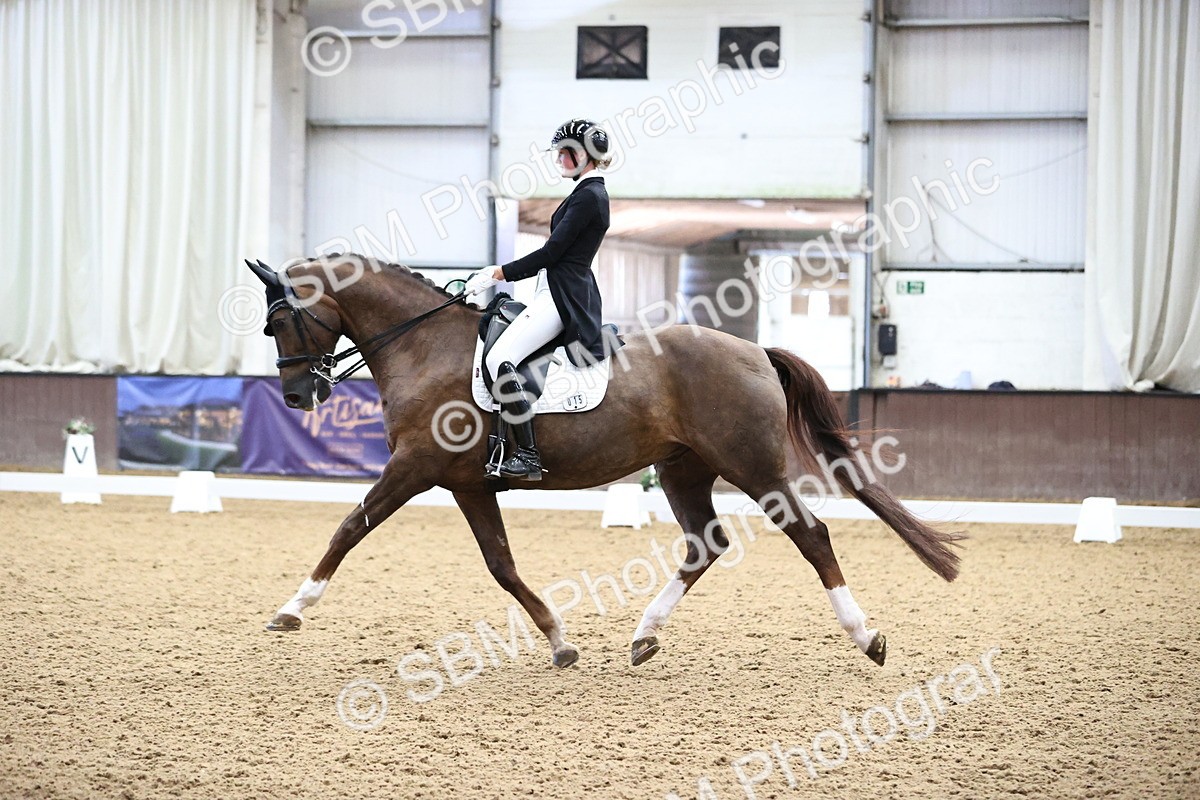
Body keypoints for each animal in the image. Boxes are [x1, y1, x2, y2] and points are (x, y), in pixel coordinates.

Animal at [247, 254, 962, 669]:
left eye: (279, 320)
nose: (297, 395)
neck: (424, 344)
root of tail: (757, 351)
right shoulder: (468, 485)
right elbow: (502, 565)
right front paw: (560, 641)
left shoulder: (415, 468)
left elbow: (349, 528)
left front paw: (293, 608)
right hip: (683, 468)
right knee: (705, 543)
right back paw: (644, 636)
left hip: (753, 468)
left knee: (811, 536)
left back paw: (866, 637)